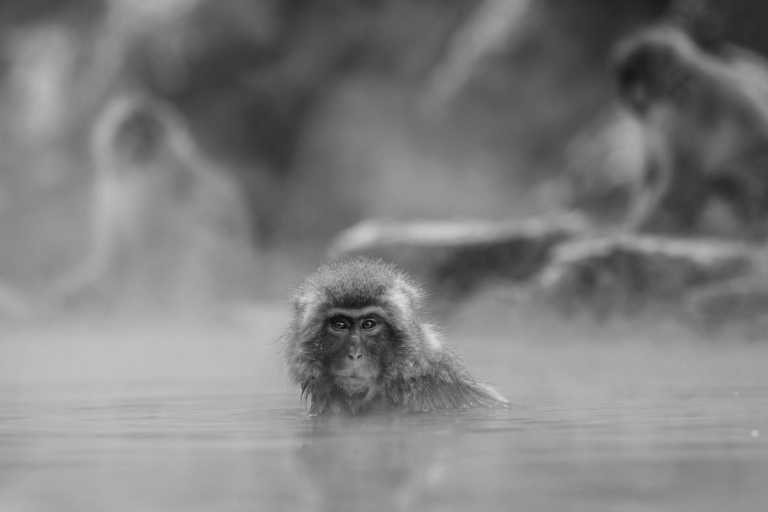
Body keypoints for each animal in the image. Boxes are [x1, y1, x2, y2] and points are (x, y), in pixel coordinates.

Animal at [612, 24, 768, 238]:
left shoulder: (684, 117)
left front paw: (643, 227)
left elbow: (684, 174)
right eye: (625, 84)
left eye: (637, 83)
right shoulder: (654, 126)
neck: (676, 88)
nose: (631, 101)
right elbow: (653, 172)